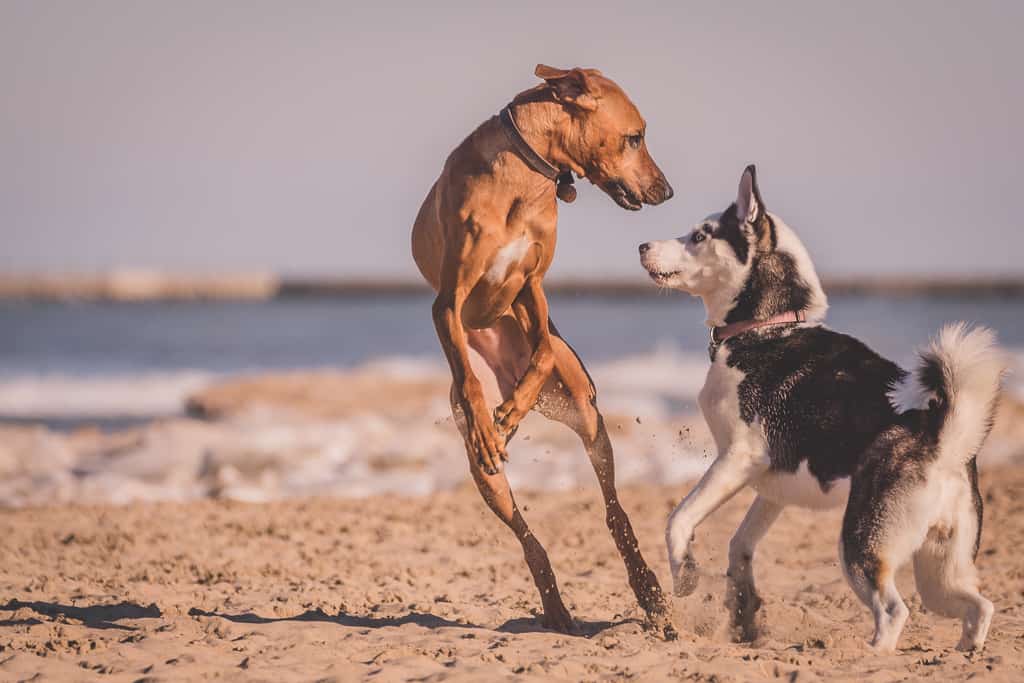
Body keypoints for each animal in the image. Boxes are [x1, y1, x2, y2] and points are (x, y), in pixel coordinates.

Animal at [411, 63, 675, 634]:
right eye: (636, 137)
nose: (667, 191)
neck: (524, 175)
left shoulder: (533, 287)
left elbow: (546, 350)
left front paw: (516, 404)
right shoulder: (448, 301)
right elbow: (467, 372)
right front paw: (492, 420)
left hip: (587, 415)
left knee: (613, 509)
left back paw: (648, 589)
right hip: (485, 476)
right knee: (526, 534)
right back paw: (555, 605)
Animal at [634, 163, 1003, 651]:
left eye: (699, 235)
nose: (642, 246)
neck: (766, 328)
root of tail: (940, 438)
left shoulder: (737, 459)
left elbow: (678, 520)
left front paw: (685, 578)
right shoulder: (770, 487)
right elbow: (739, 547)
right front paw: (743, 614)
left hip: (860, 547)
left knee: (894, 610)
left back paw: (871, 655)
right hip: (939, 572)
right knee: (979, 607)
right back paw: (965, 652)